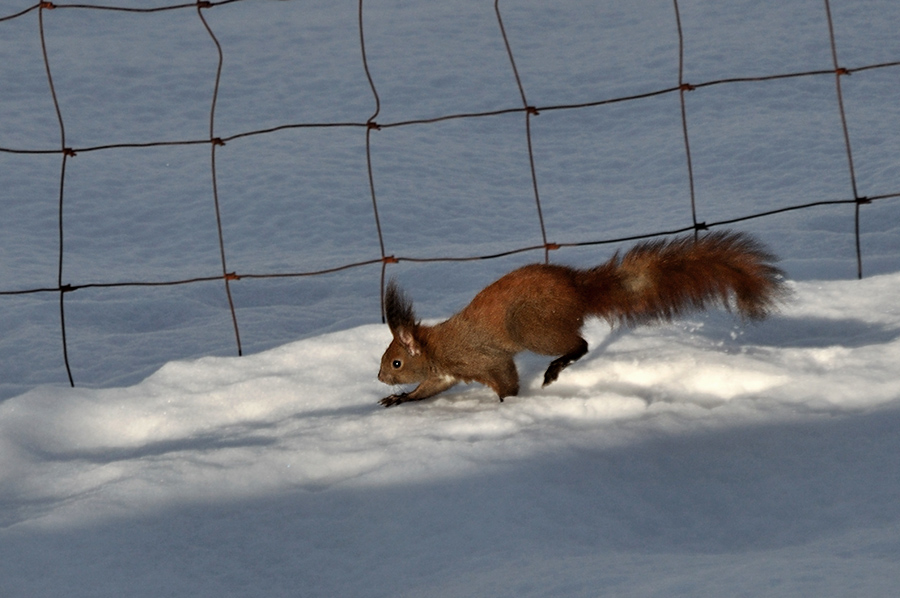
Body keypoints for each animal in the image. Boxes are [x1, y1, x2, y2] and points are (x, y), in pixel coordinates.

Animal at [376, 230, 784, 408]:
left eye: (395, 362)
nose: (379, 377)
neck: (436, 345)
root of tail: (577, 288)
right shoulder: (444, 373)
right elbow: (430, 388)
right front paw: (400, 398)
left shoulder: (482, 358)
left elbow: (505, 379)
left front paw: (509, 405)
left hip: (534, 327)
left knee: (581, 344)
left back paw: (556, 368)